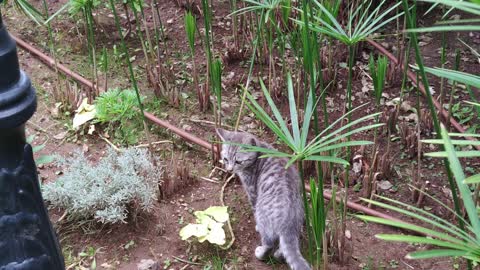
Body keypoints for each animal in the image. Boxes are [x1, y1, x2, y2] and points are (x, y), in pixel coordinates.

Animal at [215, 129, 312, 270]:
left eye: (238, 161)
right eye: (225, 159)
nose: (230, 169)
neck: (260, 150)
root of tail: (288, 223)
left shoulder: (252, 192)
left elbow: (253, 207)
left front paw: (256, 226)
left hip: (264, 219)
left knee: (269, 245)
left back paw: (260, 251)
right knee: (285, 248)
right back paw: (279, 254)